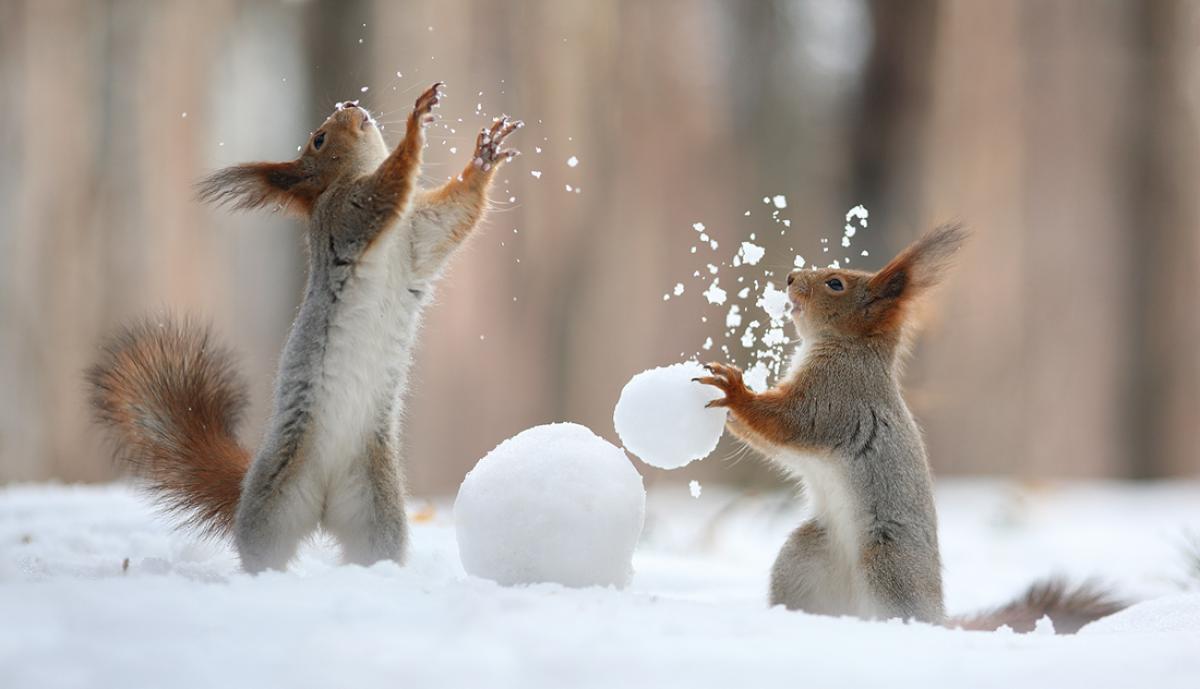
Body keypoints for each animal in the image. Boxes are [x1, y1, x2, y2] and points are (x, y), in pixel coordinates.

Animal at [88, 84, 520, 576]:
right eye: (318, 139)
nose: (348, 105)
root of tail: (325, 503)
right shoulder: (349, 213)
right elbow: (389, 186)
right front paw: (417, 122)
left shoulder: (418, 239)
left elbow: (456, 212)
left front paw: (485, 155)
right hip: (275, 503)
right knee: (262, 549)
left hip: (376, 509)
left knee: (372, 546)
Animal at [696, 225, 1123, 633]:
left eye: (835, 284)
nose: (789, 277)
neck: (854, 348)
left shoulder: (834, 398)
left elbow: (788, 422)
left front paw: (735, 393)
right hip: (804, 556)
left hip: (889, 562)